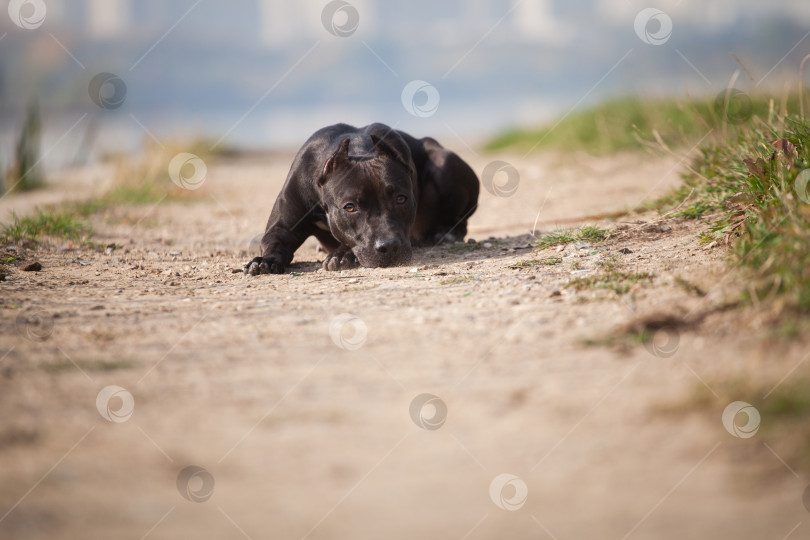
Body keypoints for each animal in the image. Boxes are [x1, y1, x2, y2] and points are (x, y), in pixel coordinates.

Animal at [243, 122, 476, 274]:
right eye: (350, 207)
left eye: (401, 199)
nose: (390, 246)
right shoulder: (283, 226)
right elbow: (271, 241)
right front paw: (265, 260)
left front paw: (341, 255)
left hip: (444, 161)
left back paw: (446, 234)